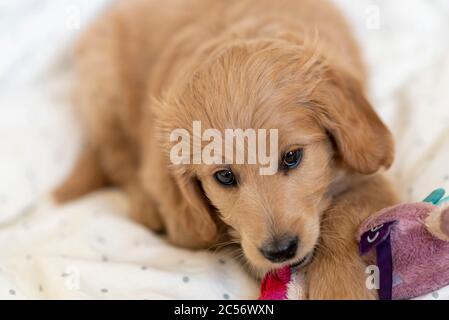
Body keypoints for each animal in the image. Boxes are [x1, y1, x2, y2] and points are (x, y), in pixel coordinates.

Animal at [55, 0, 396, 300]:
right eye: (224, 177)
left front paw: (341, 288)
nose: (280, 251)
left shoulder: (366, 174)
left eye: (292, 157)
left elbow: (343, 216)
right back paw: (147, 207)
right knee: (116, 157)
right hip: (102, 85)